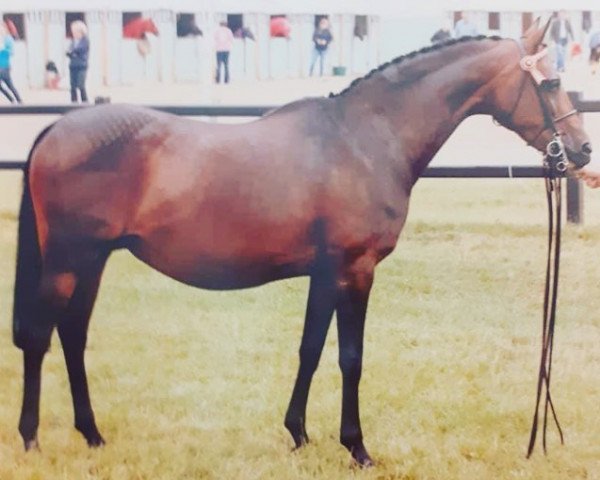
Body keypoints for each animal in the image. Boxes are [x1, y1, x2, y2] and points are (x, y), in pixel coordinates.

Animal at [12, 20, 592, 466]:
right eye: (552, 80)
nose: (583, 150)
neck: (365, 138)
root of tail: (58, 129)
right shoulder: (356, 270)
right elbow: (350, 357)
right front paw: (356, 447)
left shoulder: (325, 272)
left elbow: (310, 349)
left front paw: (298, 433)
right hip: (68, 261)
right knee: (40, 338)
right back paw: (31, 438)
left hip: (92, 261)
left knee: (72, 336)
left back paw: (92, 434)